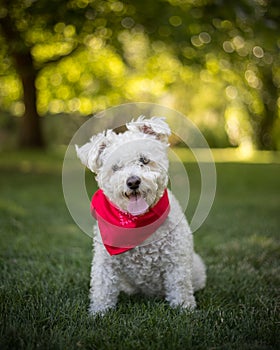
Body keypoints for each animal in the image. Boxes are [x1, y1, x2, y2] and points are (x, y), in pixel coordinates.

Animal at [75, 116, 207, 316]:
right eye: (116, 168)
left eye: (144, 160)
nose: (133, 182)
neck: (138, 221)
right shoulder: (105, 263)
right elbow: (102, 289)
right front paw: (99, 313)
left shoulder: (176, 261)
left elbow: (180, 287)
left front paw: (184, 310)